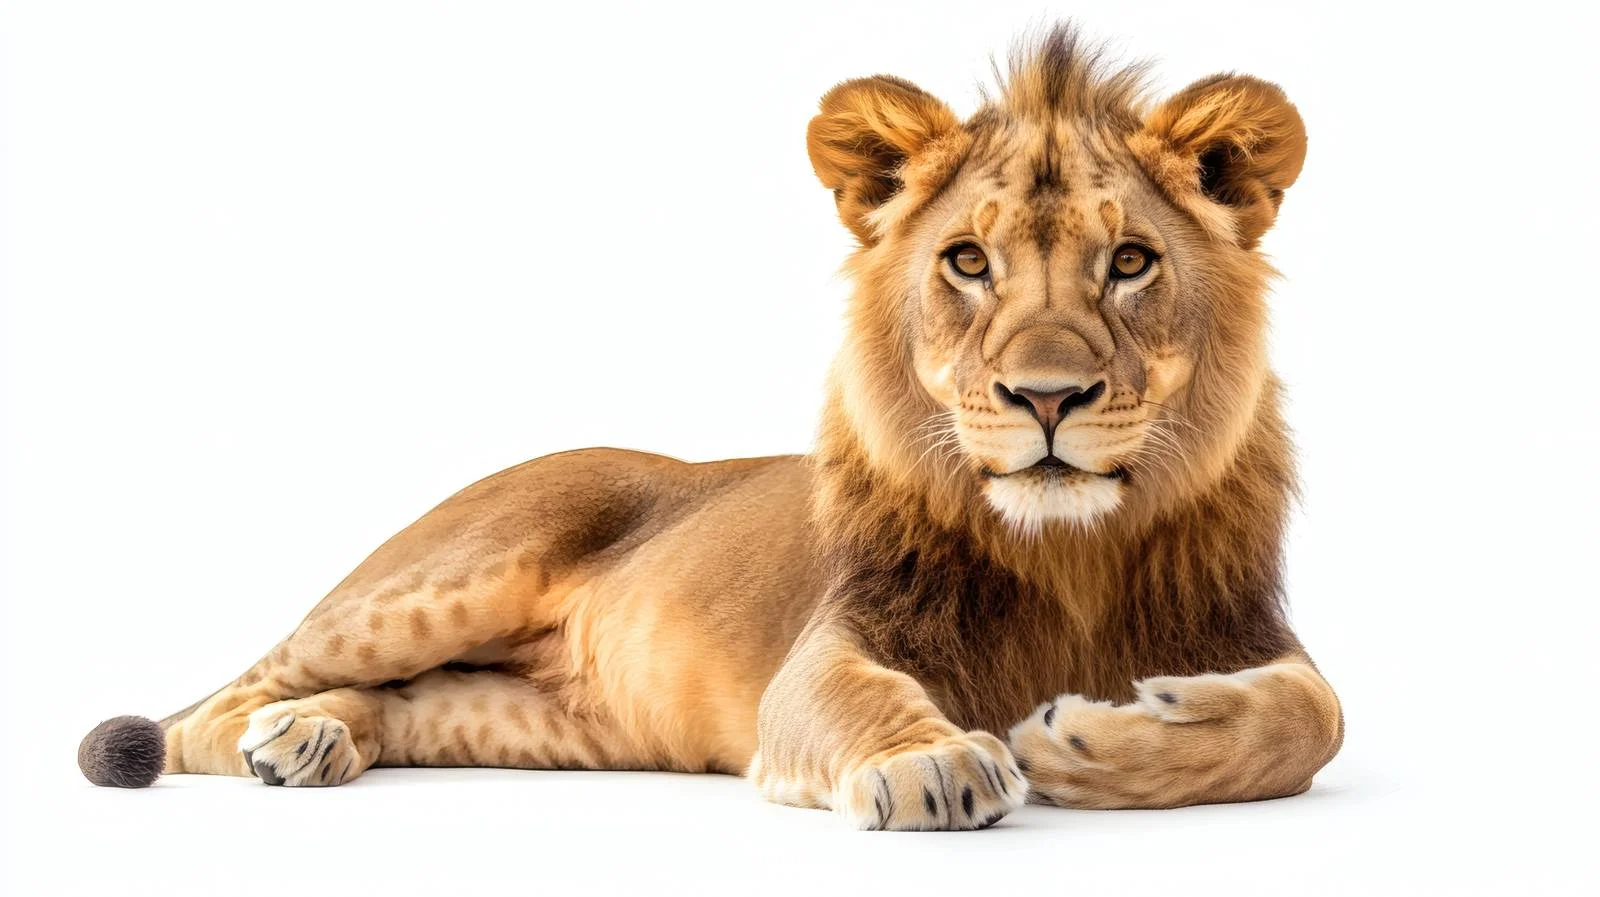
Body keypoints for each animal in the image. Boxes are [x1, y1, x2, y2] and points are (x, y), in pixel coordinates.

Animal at [77, 26, 1342, 830]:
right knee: (220, 704)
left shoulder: (1246, 632)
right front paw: (935, 762)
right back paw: (284, 737)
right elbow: (858, 700)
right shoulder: (833, 646)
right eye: (966, 263)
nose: (1045, 398)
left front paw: (1104, 739)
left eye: (1129, 262)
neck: (1067, 555)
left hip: (525, 716)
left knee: (390, 704)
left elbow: (1314, 718)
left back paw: (324, 736)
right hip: (434, 582)